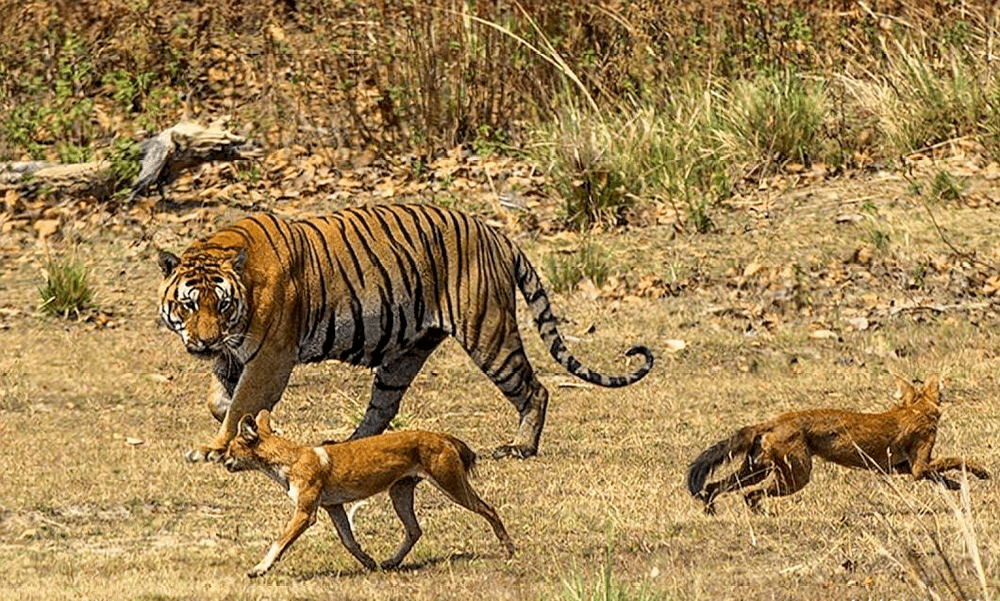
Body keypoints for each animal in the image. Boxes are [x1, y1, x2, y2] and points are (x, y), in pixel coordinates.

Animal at [156, 202, 652, 460]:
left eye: (221, 305)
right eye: (189, 304)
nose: (203, 341)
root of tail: (496, 233)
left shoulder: (271, 356)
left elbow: (243, 400)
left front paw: (217, 446)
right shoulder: (232, 354)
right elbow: (222, 399)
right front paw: (236, 426)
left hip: (488, 332)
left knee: (534, 389)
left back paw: (519, 447)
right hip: (405, 354)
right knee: (383, 407)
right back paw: (348, 444)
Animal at [222, 410, 512, 576]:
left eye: (231, 448)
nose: (221, 459)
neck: (290, 461)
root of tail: (442, 436)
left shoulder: (306, 513)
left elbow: (278, 542)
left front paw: (259, 569)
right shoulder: (333, 507)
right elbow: (349, 542)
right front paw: (369, 563)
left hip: (453, 488)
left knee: (490, 509)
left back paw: (509, 549)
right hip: (400, 496)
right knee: (415, 531)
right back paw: (391, 562)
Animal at [684, 376, 988, 510]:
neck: (914, 409)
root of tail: (774, 419)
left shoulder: (902, 467)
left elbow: (940, 473)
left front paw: (954, 486)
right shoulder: (918, 465)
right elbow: (956, 459)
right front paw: (980, 473)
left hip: (756, 470)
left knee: (716, 487)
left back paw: (712, 512)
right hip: (796, 476)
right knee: (750, 494)